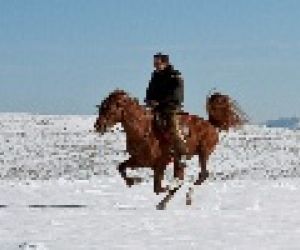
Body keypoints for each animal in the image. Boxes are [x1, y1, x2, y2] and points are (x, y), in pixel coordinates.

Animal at [94, 89, 246, 194]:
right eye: (101, 106)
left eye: (109, 108)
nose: (98, 126)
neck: (143, 130)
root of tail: (211, 124)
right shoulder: (140, 160)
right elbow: (121, 167)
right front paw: (133, 181)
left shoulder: (162, 161)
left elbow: (158, 187)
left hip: (203, 153)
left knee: (202, 174)